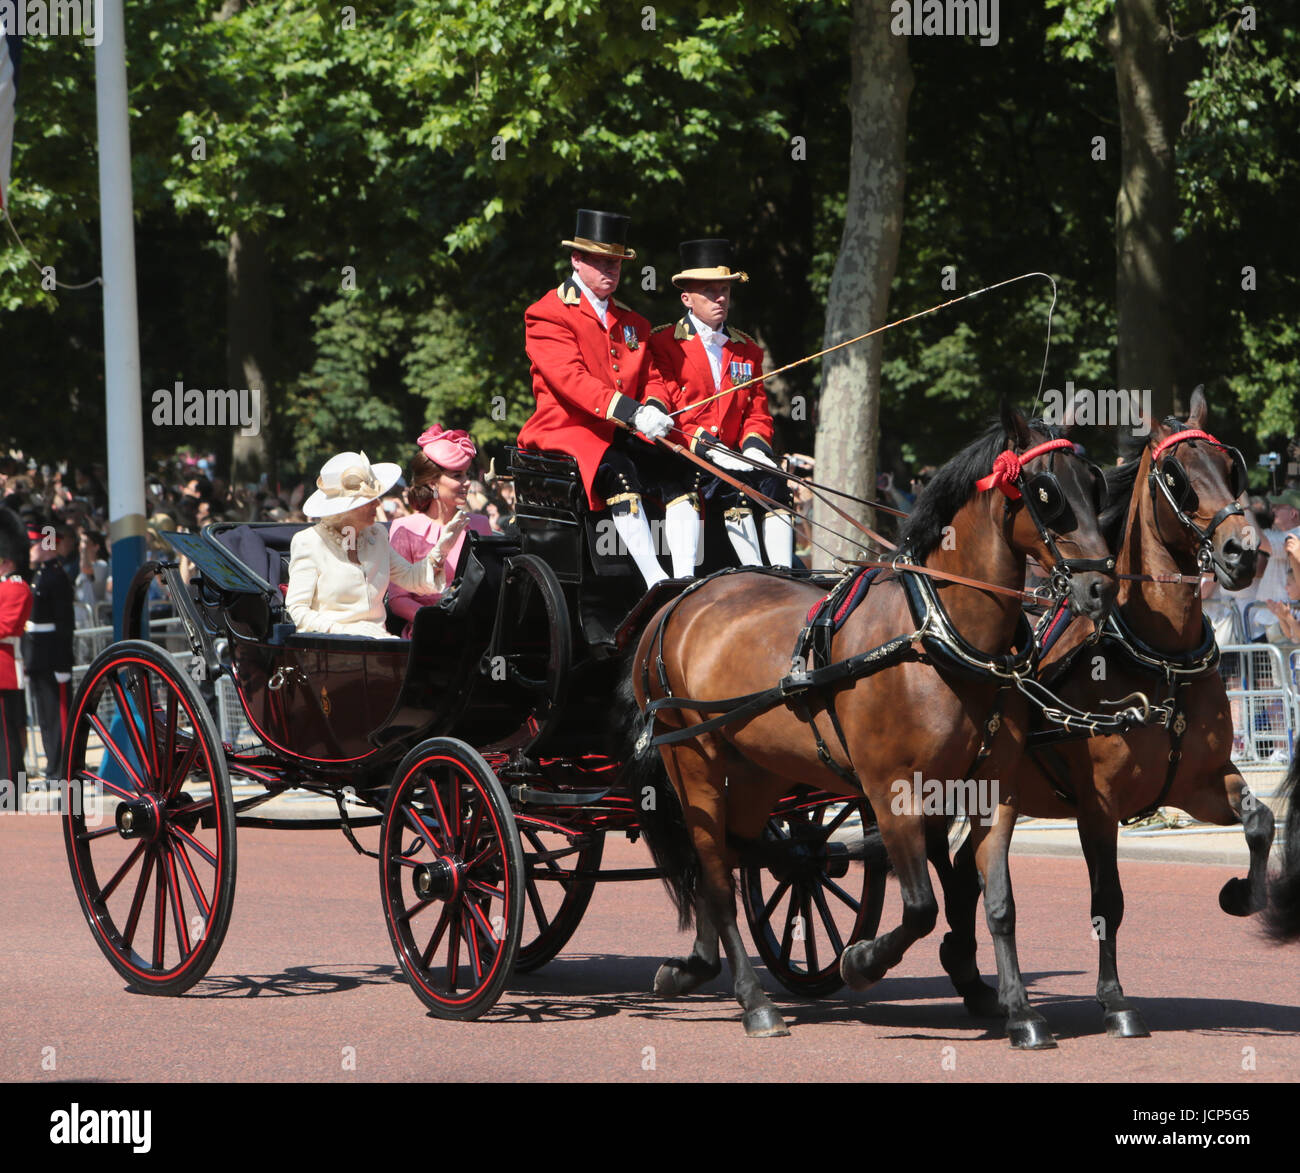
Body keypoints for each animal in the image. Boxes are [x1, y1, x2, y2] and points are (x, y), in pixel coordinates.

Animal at [618, 405, 1118, 1045]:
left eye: (1096, 485)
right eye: (1047, 492)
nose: (1100, 586)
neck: (936, 635)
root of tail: (678, 599)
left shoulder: (993, 790)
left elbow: (999, 902)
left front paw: (1021, 1012)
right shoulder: (891, 791)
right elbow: (921, 906)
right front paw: (859, 961)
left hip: (754, 771)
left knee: (729, 858)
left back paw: (696, 966)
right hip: (693, 763)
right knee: (714, 871)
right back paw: (755, 1002)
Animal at [930, 390, 1274, 1040]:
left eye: (1230, 466)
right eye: (1177, 476)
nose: (1246, 551)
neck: (1160, 657)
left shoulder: (1198, 782)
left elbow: (1260, 821)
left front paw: (1242, 896)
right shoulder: (1099, 806)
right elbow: (1106, 902)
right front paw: (1115, 1001)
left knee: (963, 866)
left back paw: (970, 976)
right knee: (945, 859)